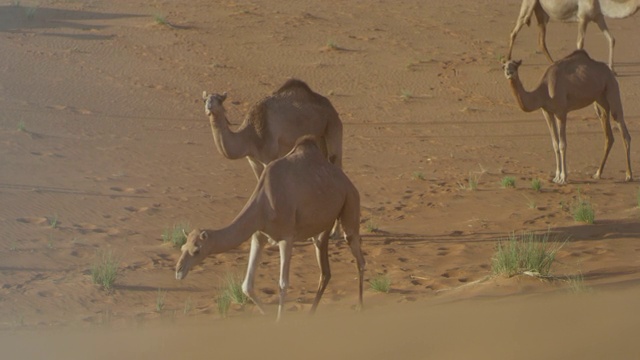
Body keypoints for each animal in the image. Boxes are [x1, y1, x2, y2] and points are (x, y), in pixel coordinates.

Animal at [175, 135, 364, 320]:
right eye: (183, 247)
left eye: (196, 250)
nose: (178, 271)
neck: (264, 203)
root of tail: (347, 181)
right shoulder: (258, 235)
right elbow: (247, 286)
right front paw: (267, 315)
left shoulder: (286, 238)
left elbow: (283, 284)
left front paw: (279, 320)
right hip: (322, 225)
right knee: (325, 270)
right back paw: (312, 313)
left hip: (351, 200)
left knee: (357, 253)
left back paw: (360, 305)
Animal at [204, 79, 344, 180]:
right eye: (204, 100)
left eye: (220, 100)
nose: (209, 106)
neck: (249, 136)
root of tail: (331, 107)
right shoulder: (253, 162)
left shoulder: (269, 157)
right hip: (320, 136)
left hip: (333, 125)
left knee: (335, 159)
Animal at [502, 49, 632, 184]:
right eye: (504, 66)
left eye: (515, 66)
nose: (509, 73)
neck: (543, 91)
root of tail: (610, 71)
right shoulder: (547, 112)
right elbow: (555, 144)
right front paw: (556, 176)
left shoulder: (561, 112)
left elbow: (562, 144)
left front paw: (563, 177)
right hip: (599, 100)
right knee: (608, 135)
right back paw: (597, 174)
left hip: (612, 88)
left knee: (623, 130)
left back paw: (628, 175)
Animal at [504, 0, 640, 72]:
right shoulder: (583, 18)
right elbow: (580, 43)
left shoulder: (598, 17)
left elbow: (611, 39)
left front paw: (612, 70)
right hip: (529, 4)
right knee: (515, 29)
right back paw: (507, 60)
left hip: (541, 12)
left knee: (541, 40)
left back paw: (554, 63)